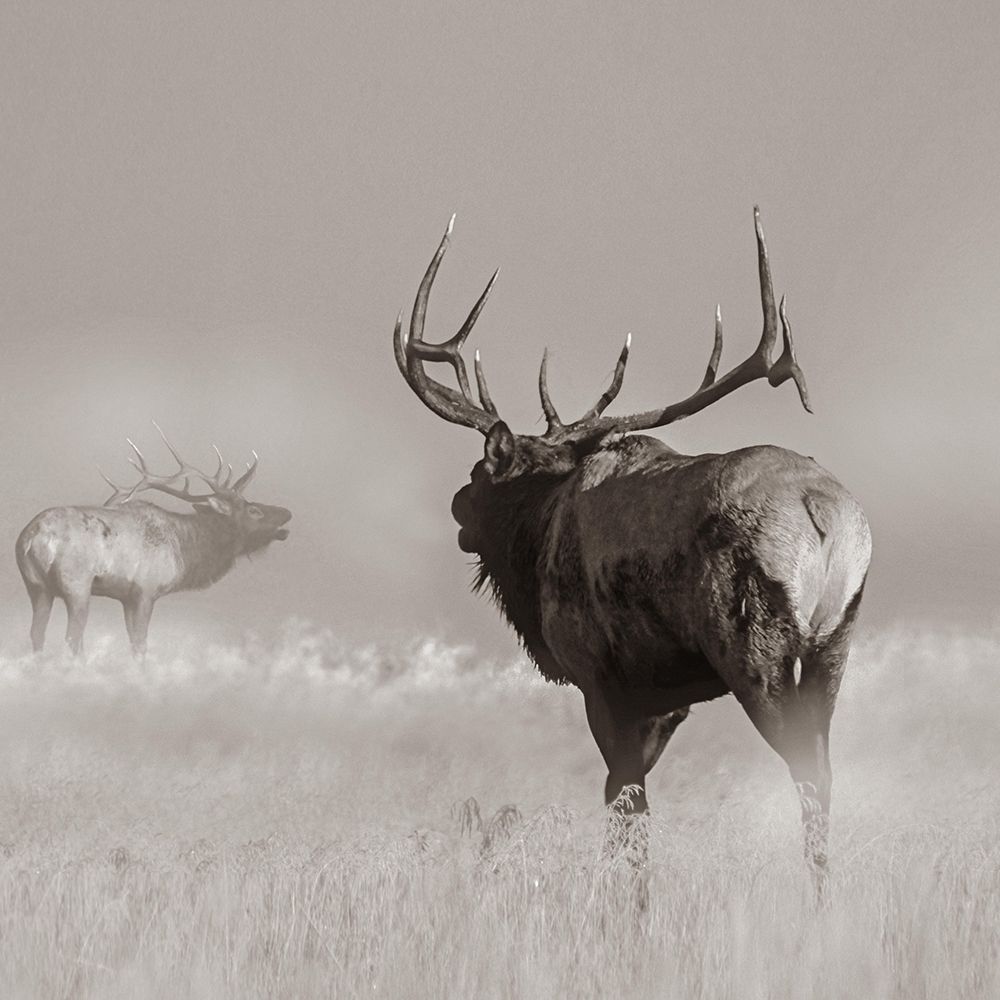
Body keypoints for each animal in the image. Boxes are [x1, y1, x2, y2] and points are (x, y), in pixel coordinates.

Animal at [16, 426, 292, 657]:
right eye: (254, 510)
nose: (287, 512)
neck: (184, 552)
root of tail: (34, 536)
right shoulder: (145, 590)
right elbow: (140, 644)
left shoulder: (126, 597)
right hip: (77, 584)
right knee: (72, 637)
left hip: (36, 586)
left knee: (37, 634)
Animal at [394, 209, 872, 881]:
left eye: (481, 474)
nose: (458, 506)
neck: (536, 535)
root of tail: (824, 510)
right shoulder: (667, 701)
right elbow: (629, 805)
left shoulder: (600, 677)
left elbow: (626, 808)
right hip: (835, 645)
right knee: (825, 773)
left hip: (755, 646)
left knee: (805, 769)